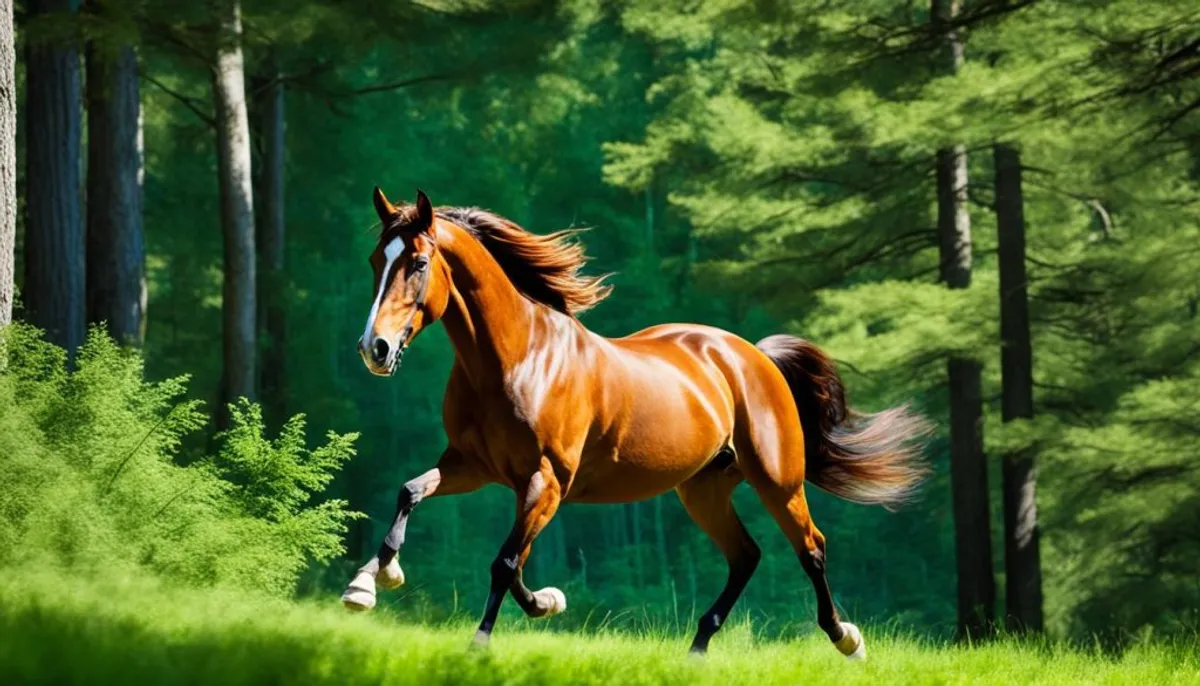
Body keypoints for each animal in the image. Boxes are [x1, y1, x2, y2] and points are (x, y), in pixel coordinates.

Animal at [343, 187, 931, 657]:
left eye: (418, 263)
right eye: (373, 260)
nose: (374, 349)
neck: (515, 359)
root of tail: (753, 356)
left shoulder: (546, 481)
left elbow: (505, 562)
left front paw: (480, 644)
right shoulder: (474, 468)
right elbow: (414, 494)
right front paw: (370, 583)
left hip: (778, 480)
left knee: (811, 547)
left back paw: (846, 639)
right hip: (703, 489)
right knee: (746, 556)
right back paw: (696, 649)